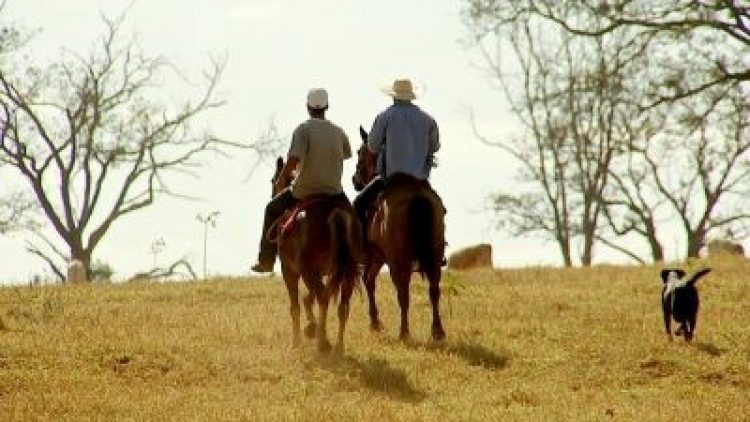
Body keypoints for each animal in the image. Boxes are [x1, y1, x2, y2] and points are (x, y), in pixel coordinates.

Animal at [272, 156, 362, 352]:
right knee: (342, 306)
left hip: (306, 270)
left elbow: (296, 305)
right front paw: (311, 327)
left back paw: (323, 342)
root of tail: (335, 212)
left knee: (323, 298)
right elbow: (309, 297)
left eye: (273, 180)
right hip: (347, 272)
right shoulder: (323, 272)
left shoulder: (289, 270)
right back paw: (338, 347)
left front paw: (297, 341)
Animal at [352, 127, 446, 342]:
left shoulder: (378, 257)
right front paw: (375, 322)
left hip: (397, 261)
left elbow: (369, 281)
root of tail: (416, 195)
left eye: (360, 153)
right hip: (434, 256)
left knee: (403, 294)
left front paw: (375, 322)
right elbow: (369, 280)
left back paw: (404, 332)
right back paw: (437, 331)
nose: (355, 180)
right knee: (434, 290)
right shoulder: (378, 257)